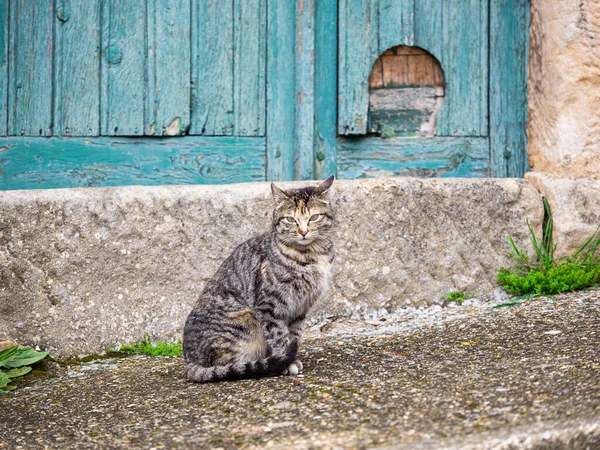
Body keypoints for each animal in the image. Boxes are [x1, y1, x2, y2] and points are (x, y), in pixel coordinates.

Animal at [183, 176, 336, 384]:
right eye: (290, 219)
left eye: (313, 217)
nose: (303, 232)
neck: (312, 255)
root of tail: (189, 361)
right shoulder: (269, 305)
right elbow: (279, 336)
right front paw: (286, 362)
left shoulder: (300, 307)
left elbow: (294, 334)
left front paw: (290, 357)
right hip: (245, 318)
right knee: (225, 363)